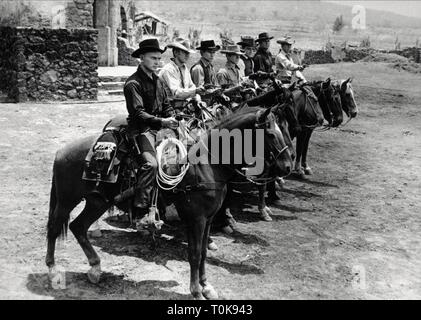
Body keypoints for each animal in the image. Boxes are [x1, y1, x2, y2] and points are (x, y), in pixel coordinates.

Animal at [43, 107, 292, 300]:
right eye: (271, 134)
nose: (287, 166)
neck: (207, 165)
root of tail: (61, 151)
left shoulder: (209, 218)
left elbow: (203, 253)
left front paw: (207, 286)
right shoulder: (196, 219)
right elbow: (194, 253)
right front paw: (195, 290)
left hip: (97, 202)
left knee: (78, 227)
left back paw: (95, 268)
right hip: (67, 200)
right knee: (55, 228)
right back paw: (54, 270)